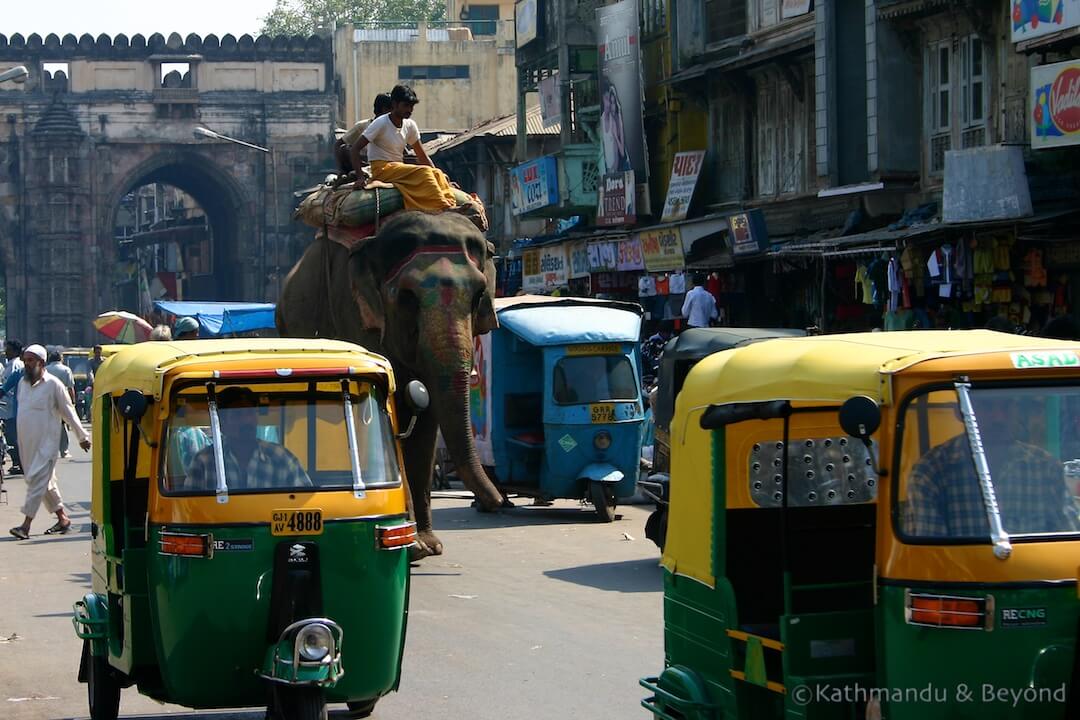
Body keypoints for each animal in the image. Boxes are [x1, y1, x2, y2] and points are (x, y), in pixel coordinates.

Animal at [274, 211, 501, 561]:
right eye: (406, 297)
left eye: (479, 294)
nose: (498, 502)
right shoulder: (356, 314)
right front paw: (414, 547)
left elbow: (426, 415)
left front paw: (428, 546)